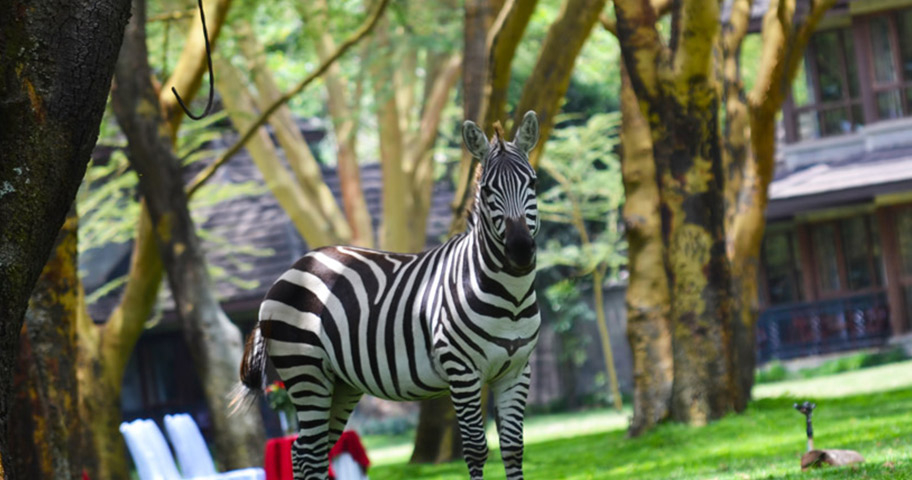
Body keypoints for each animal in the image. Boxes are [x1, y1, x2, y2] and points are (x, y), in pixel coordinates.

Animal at [233, 111, 542, 480]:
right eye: (487, 190)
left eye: (533, 183)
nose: (520, 251)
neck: (511, 298)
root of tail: (293, 268)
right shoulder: (462, 371)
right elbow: (477, 450)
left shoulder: (517, 372)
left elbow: (513, 449)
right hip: (306, 372)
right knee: (307, 452)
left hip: (341, 383)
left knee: (307, 453)